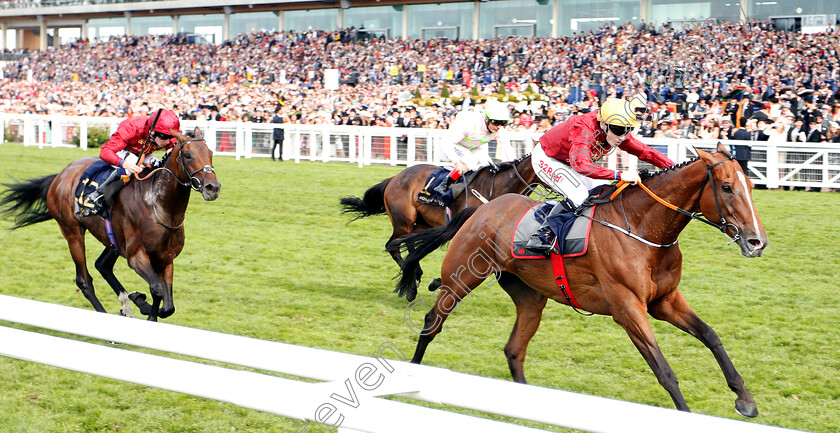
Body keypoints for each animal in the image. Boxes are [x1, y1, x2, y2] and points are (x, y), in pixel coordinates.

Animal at [0, 126, 221, 318]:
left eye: (210, 152)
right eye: (188, 155)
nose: (213, 187)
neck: (160, 206)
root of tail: (60, 175)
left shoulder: (165, 258)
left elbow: (167, 306)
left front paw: (141, 302)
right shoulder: (136, 256)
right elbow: (157, 289)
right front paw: (142, 303)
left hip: (113, 239)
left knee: (102, 265)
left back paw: (129, 303)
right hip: (72, 232)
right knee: (84, 281)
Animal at [338, 154, 540, 282]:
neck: (497, 187)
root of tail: (395, 178)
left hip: (422, 223)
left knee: (408, 243)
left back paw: (415, 272)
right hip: (403, 221)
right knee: (393, 245)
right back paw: (412, 282)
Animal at [388, 144, 768, 416]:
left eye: (751, 185)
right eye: (727, 187)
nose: (757, 241)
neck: (644, 228)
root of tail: (481, 209)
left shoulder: (665, 301)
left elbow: (711, 336)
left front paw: (745, 400)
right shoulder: (627, 308)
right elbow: (663, 369)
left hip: (529, 295)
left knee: (514, 349)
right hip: (461, 277)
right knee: (432, 322)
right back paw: (413, 375)